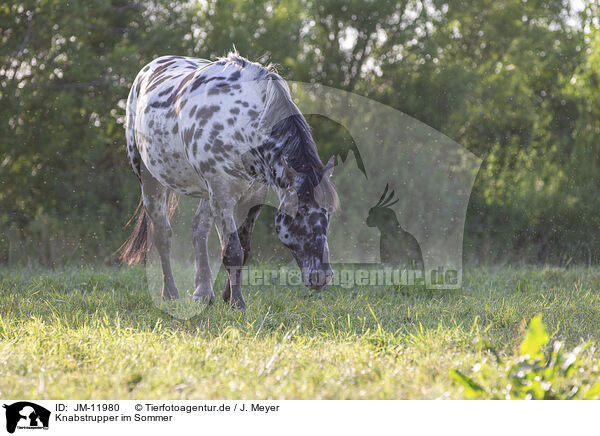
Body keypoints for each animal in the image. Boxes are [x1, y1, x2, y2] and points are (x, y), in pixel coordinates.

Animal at [117, 52, 338, 310]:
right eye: (300, 212)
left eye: (329, 212)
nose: (321, 276)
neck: (241, 123)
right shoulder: (222, 195)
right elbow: (232, 251)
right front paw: (238, 303)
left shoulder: (252, 198)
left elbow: (244, 248)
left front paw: (227, 296)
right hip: (152, 182)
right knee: (163, 235)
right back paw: (170, 293)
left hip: (206, 193)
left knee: (198, 229)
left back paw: (203, 292)